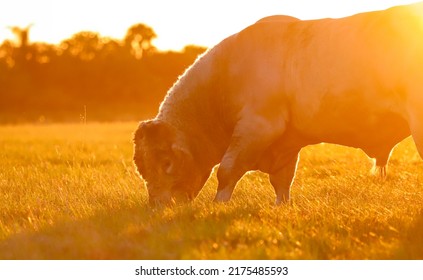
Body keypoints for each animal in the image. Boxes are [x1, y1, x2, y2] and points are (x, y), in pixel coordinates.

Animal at [134, 2, 423, 206]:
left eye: (166, 162)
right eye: (143, 169)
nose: (157, 206)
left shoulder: (258, 126)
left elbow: (227, 170)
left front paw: (218, 205)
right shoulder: (287, 141)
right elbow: (282, 181)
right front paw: (281, 207)